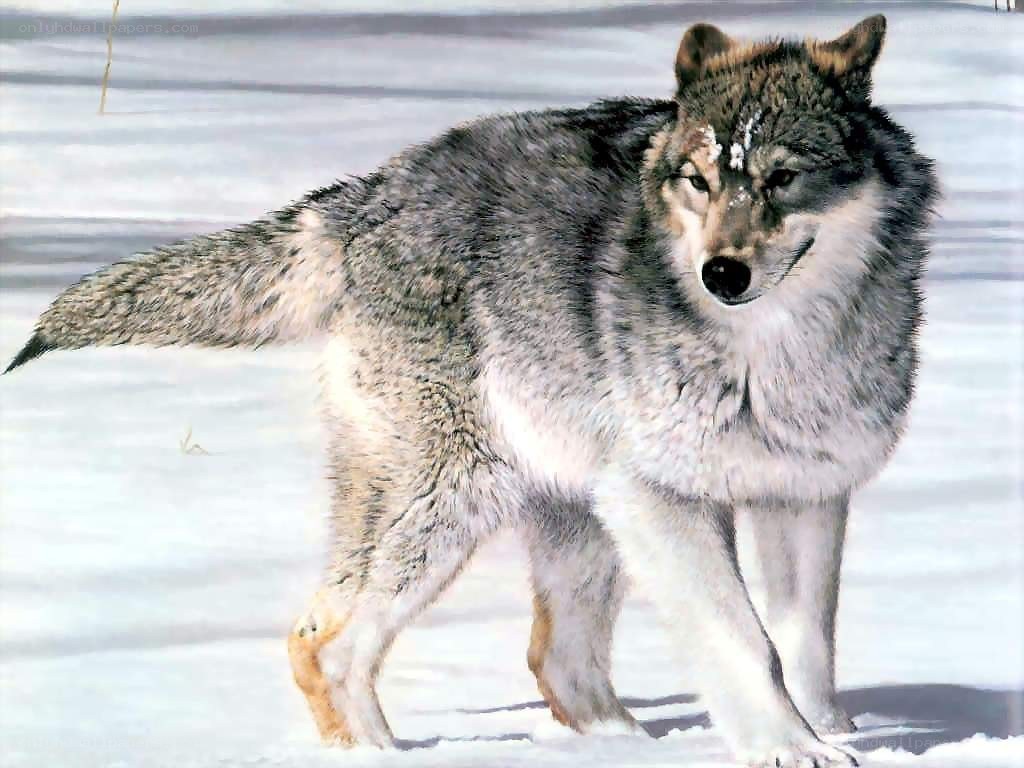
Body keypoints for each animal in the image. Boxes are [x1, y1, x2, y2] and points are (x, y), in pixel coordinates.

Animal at [5, 14, 935, 767]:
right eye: (698, 182)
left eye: (781, 179)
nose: (722, 273)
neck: (773, 356)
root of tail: (365, 198)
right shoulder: (663, 499)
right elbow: (745, 641)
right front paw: (791, 749)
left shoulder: (806, 493)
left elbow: (807, 645)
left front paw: (830, 733)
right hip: (454, 503)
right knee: (325, 645)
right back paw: (388, 756)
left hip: (574, 519)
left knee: (551, 660)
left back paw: (619, 750)